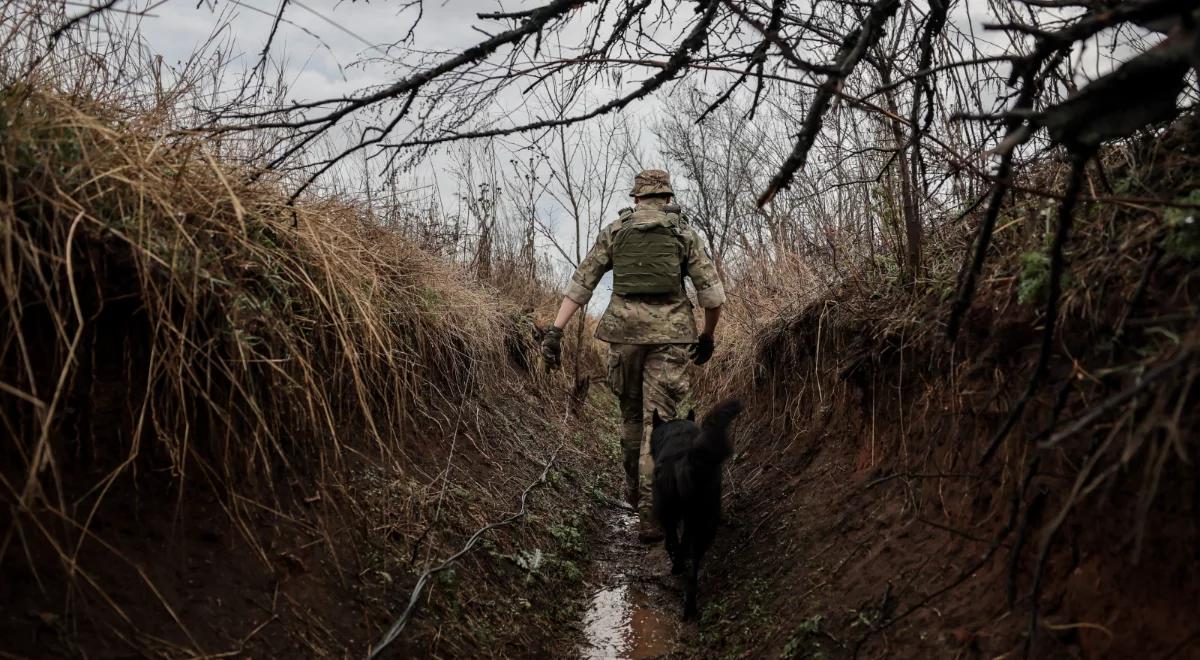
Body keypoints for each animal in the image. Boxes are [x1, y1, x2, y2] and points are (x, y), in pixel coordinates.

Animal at [657, 400, 739, 624]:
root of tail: (690, 461)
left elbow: (672, 541)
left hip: (674, 512)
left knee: (676, 545)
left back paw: (677, 569)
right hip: (706, 519)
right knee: (694, 565)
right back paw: (691, 608)